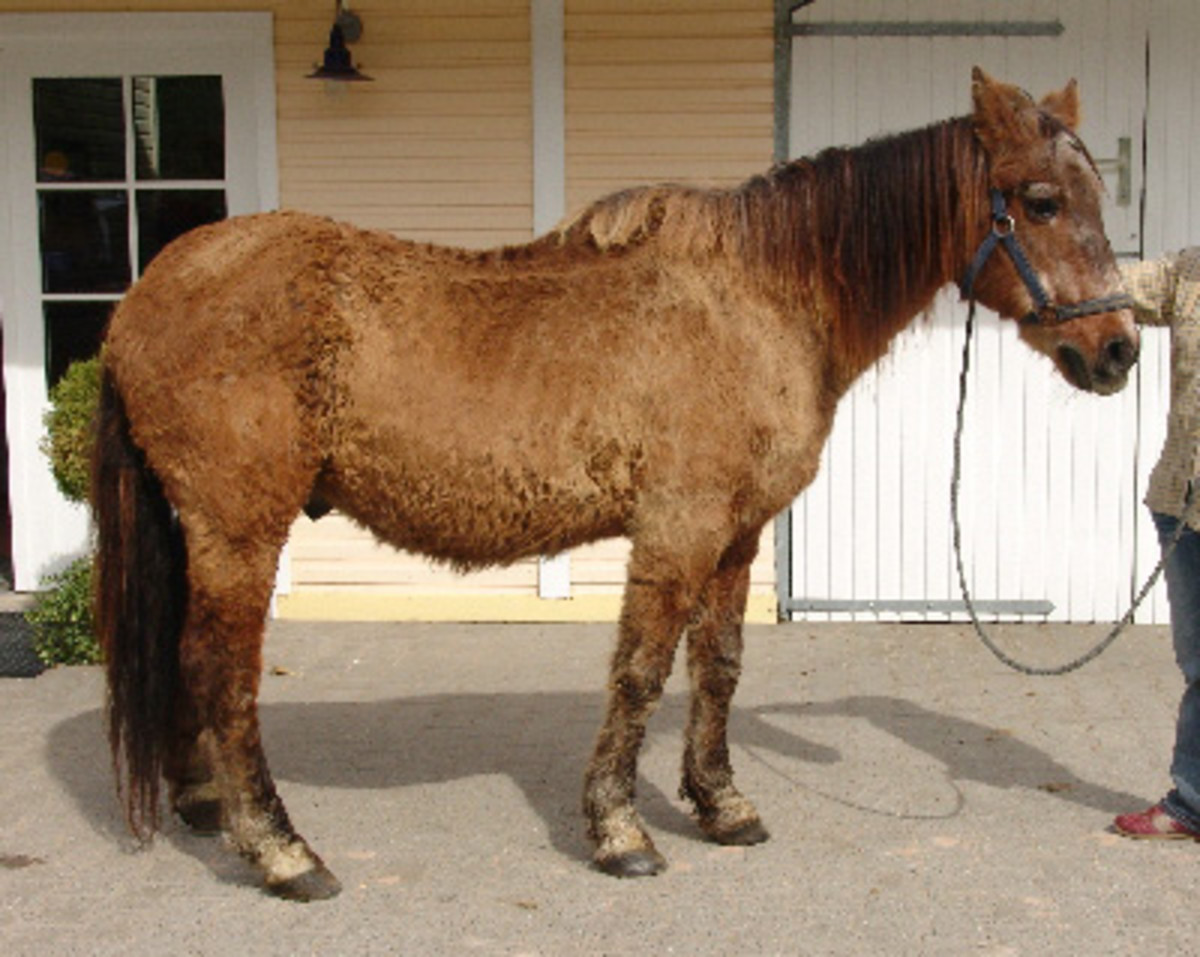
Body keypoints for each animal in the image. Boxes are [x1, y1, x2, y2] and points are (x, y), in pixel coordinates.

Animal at [91, 69, 1138, 900]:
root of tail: (146, 293)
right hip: (241, 527)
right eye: (1041, 200)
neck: (758, 295)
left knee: (183, 655)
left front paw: (721, 804)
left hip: (200, 532)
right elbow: (639, 669)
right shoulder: (677, 527)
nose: (1119, 349)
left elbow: (717, 666)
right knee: (221, 670)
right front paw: (619, 831)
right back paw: (282, 850)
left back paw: (203, 803)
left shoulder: (736, 534)